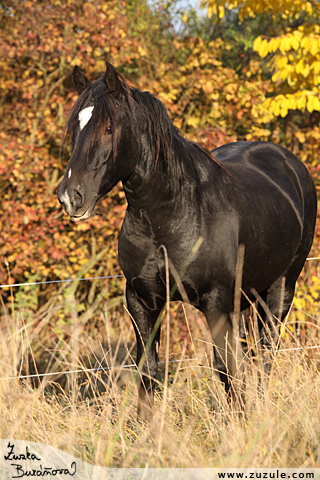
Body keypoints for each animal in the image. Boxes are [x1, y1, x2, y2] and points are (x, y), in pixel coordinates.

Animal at [58, 61, 318, 420]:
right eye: (75, 128)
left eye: (109, 127)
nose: (71, 197)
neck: (172, 214)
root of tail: (290, 164)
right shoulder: (141, 301)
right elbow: (148, 370)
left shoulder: (216, 303)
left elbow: (225, 368)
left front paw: (238, 424)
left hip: (281, 289)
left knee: (266, 353)